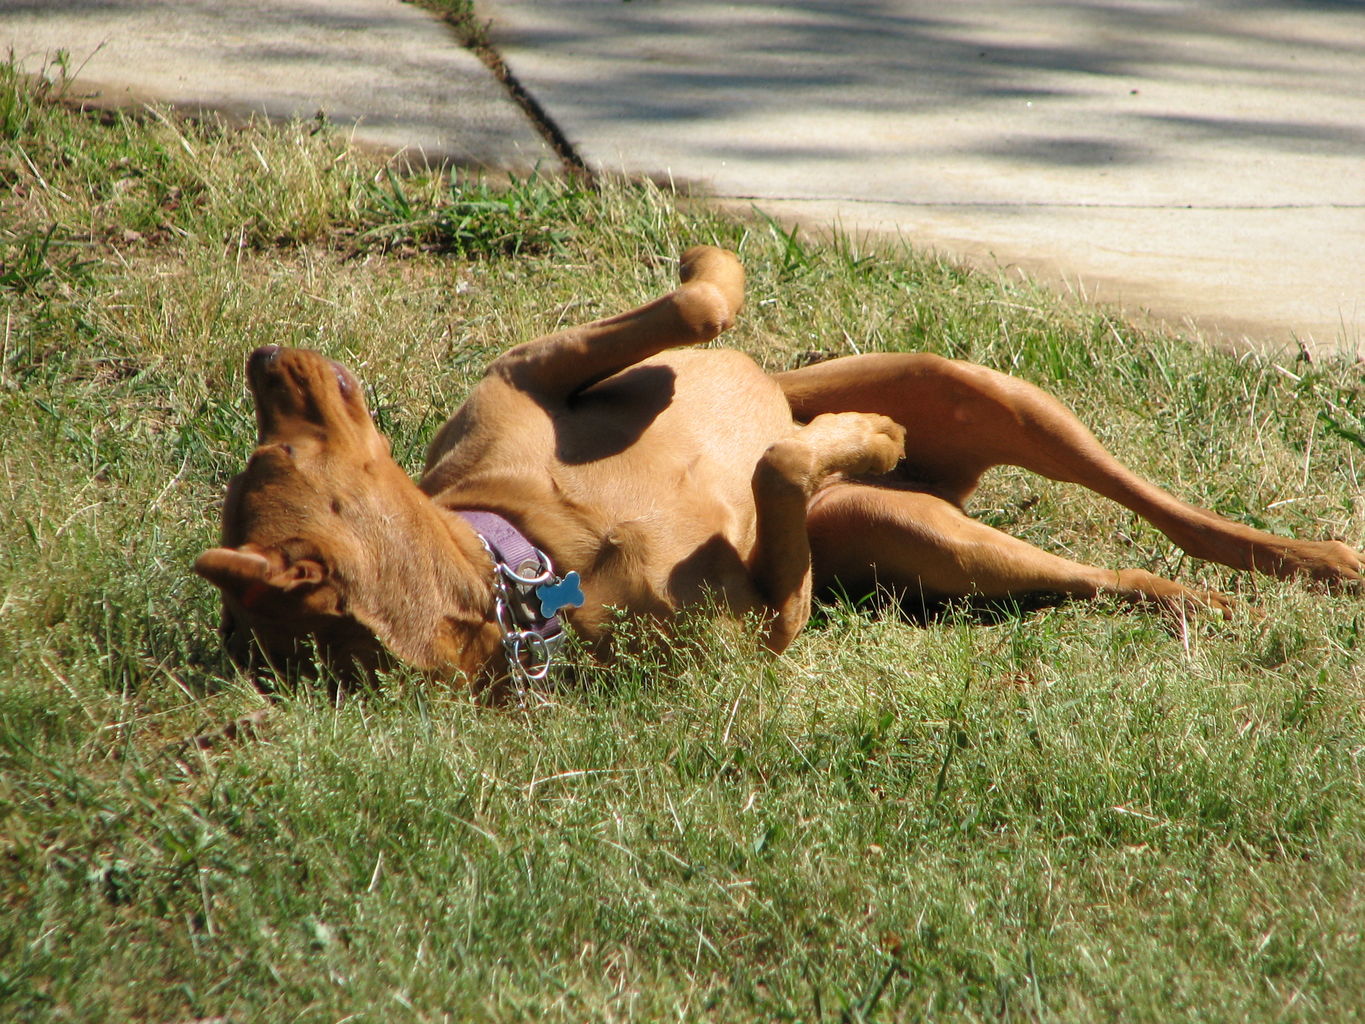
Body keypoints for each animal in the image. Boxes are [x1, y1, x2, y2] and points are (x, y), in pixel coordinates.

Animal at [195, 247, 1365, 699]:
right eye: (271, 452)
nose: (262, 355)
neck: (529, 562)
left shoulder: (535, 369)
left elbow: (699, 303)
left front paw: (704, 271)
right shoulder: (773, 618)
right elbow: (780, 472)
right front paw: (858, 435)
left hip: (987, 390)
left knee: (1167, 513)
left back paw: (1311, 560)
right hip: (931, 538)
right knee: (1108, 575)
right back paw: (1202, 604)